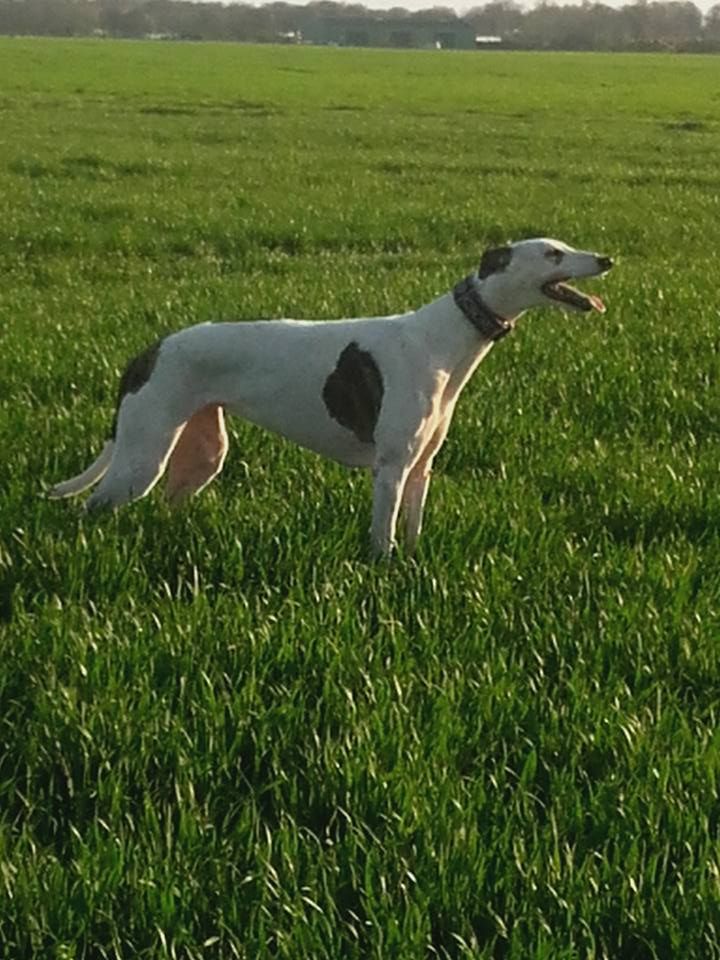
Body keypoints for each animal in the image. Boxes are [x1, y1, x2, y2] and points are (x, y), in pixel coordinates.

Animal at [48, 238, 612, 556]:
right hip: (141, 455)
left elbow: (412, 534)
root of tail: (149, 350)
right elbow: (383, 540)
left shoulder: (421, 468)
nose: (607, 259)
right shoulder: (391, 467)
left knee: (169, 501)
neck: (444, 336)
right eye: (553, 252)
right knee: (91, 508)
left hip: (202, 451)